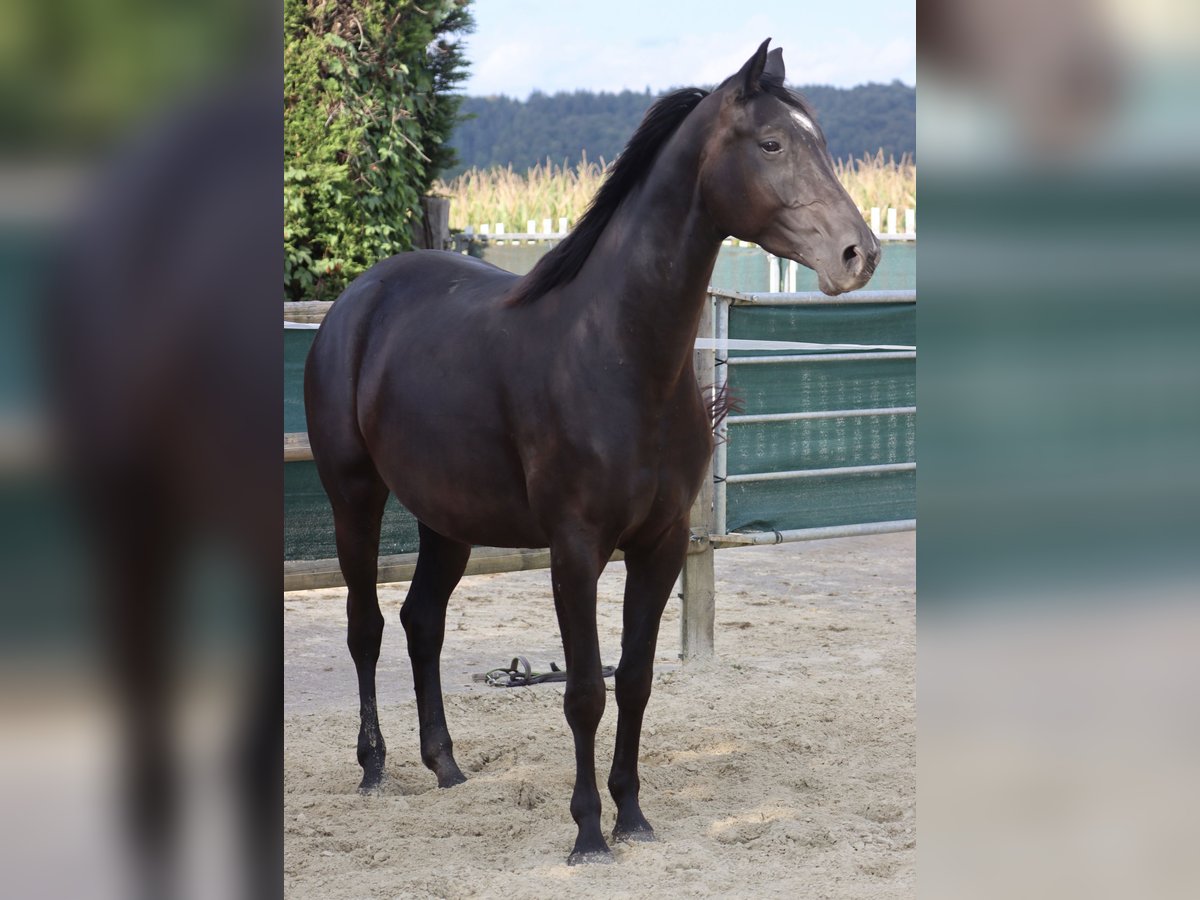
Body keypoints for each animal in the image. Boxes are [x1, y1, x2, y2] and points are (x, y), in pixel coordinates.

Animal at [304, 42, 878, 868]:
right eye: (772, 144)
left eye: (821, 142)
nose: (859, 254)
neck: (616, 350)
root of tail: (357, 300)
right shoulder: (574, 549)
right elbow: (583, 691)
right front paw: (585, 834)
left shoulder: (659, 545)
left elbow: (634, 680)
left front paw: (632, 816)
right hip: (354, 496)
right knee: (367, 625)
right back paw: (375, 767)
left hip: (448, 519)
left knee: (422, 622)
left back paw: (446, 765)